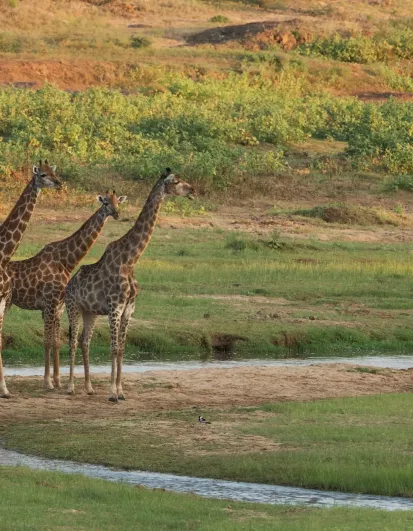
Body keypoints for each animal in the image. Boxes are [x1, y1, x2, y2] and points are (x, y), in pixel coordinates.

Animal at [8, 191, 126, 390]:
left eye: (118, 202)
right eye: (105, 203)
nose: (117, 213)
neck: (66, 261)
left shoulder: (59, 305)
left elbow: (56, 341)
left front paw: (58, 380)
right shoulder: (49, 303)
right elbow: (48, 341)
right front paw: (48, 381)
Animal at [65, 168, 195, 402]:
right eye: (176, 181)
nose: (193, 190)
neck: (130, 261)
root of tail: (68, 284)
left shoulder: (129, 309)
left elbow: (122, 349)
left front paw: (121, 391)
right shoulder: (115, 307)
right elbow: (114, 347)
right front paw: (112, 393)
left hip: (90, 312)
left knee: (84, 341)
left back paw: (89, 388)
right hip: (73, 307)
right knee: (72, 341)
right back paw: (70, 387)